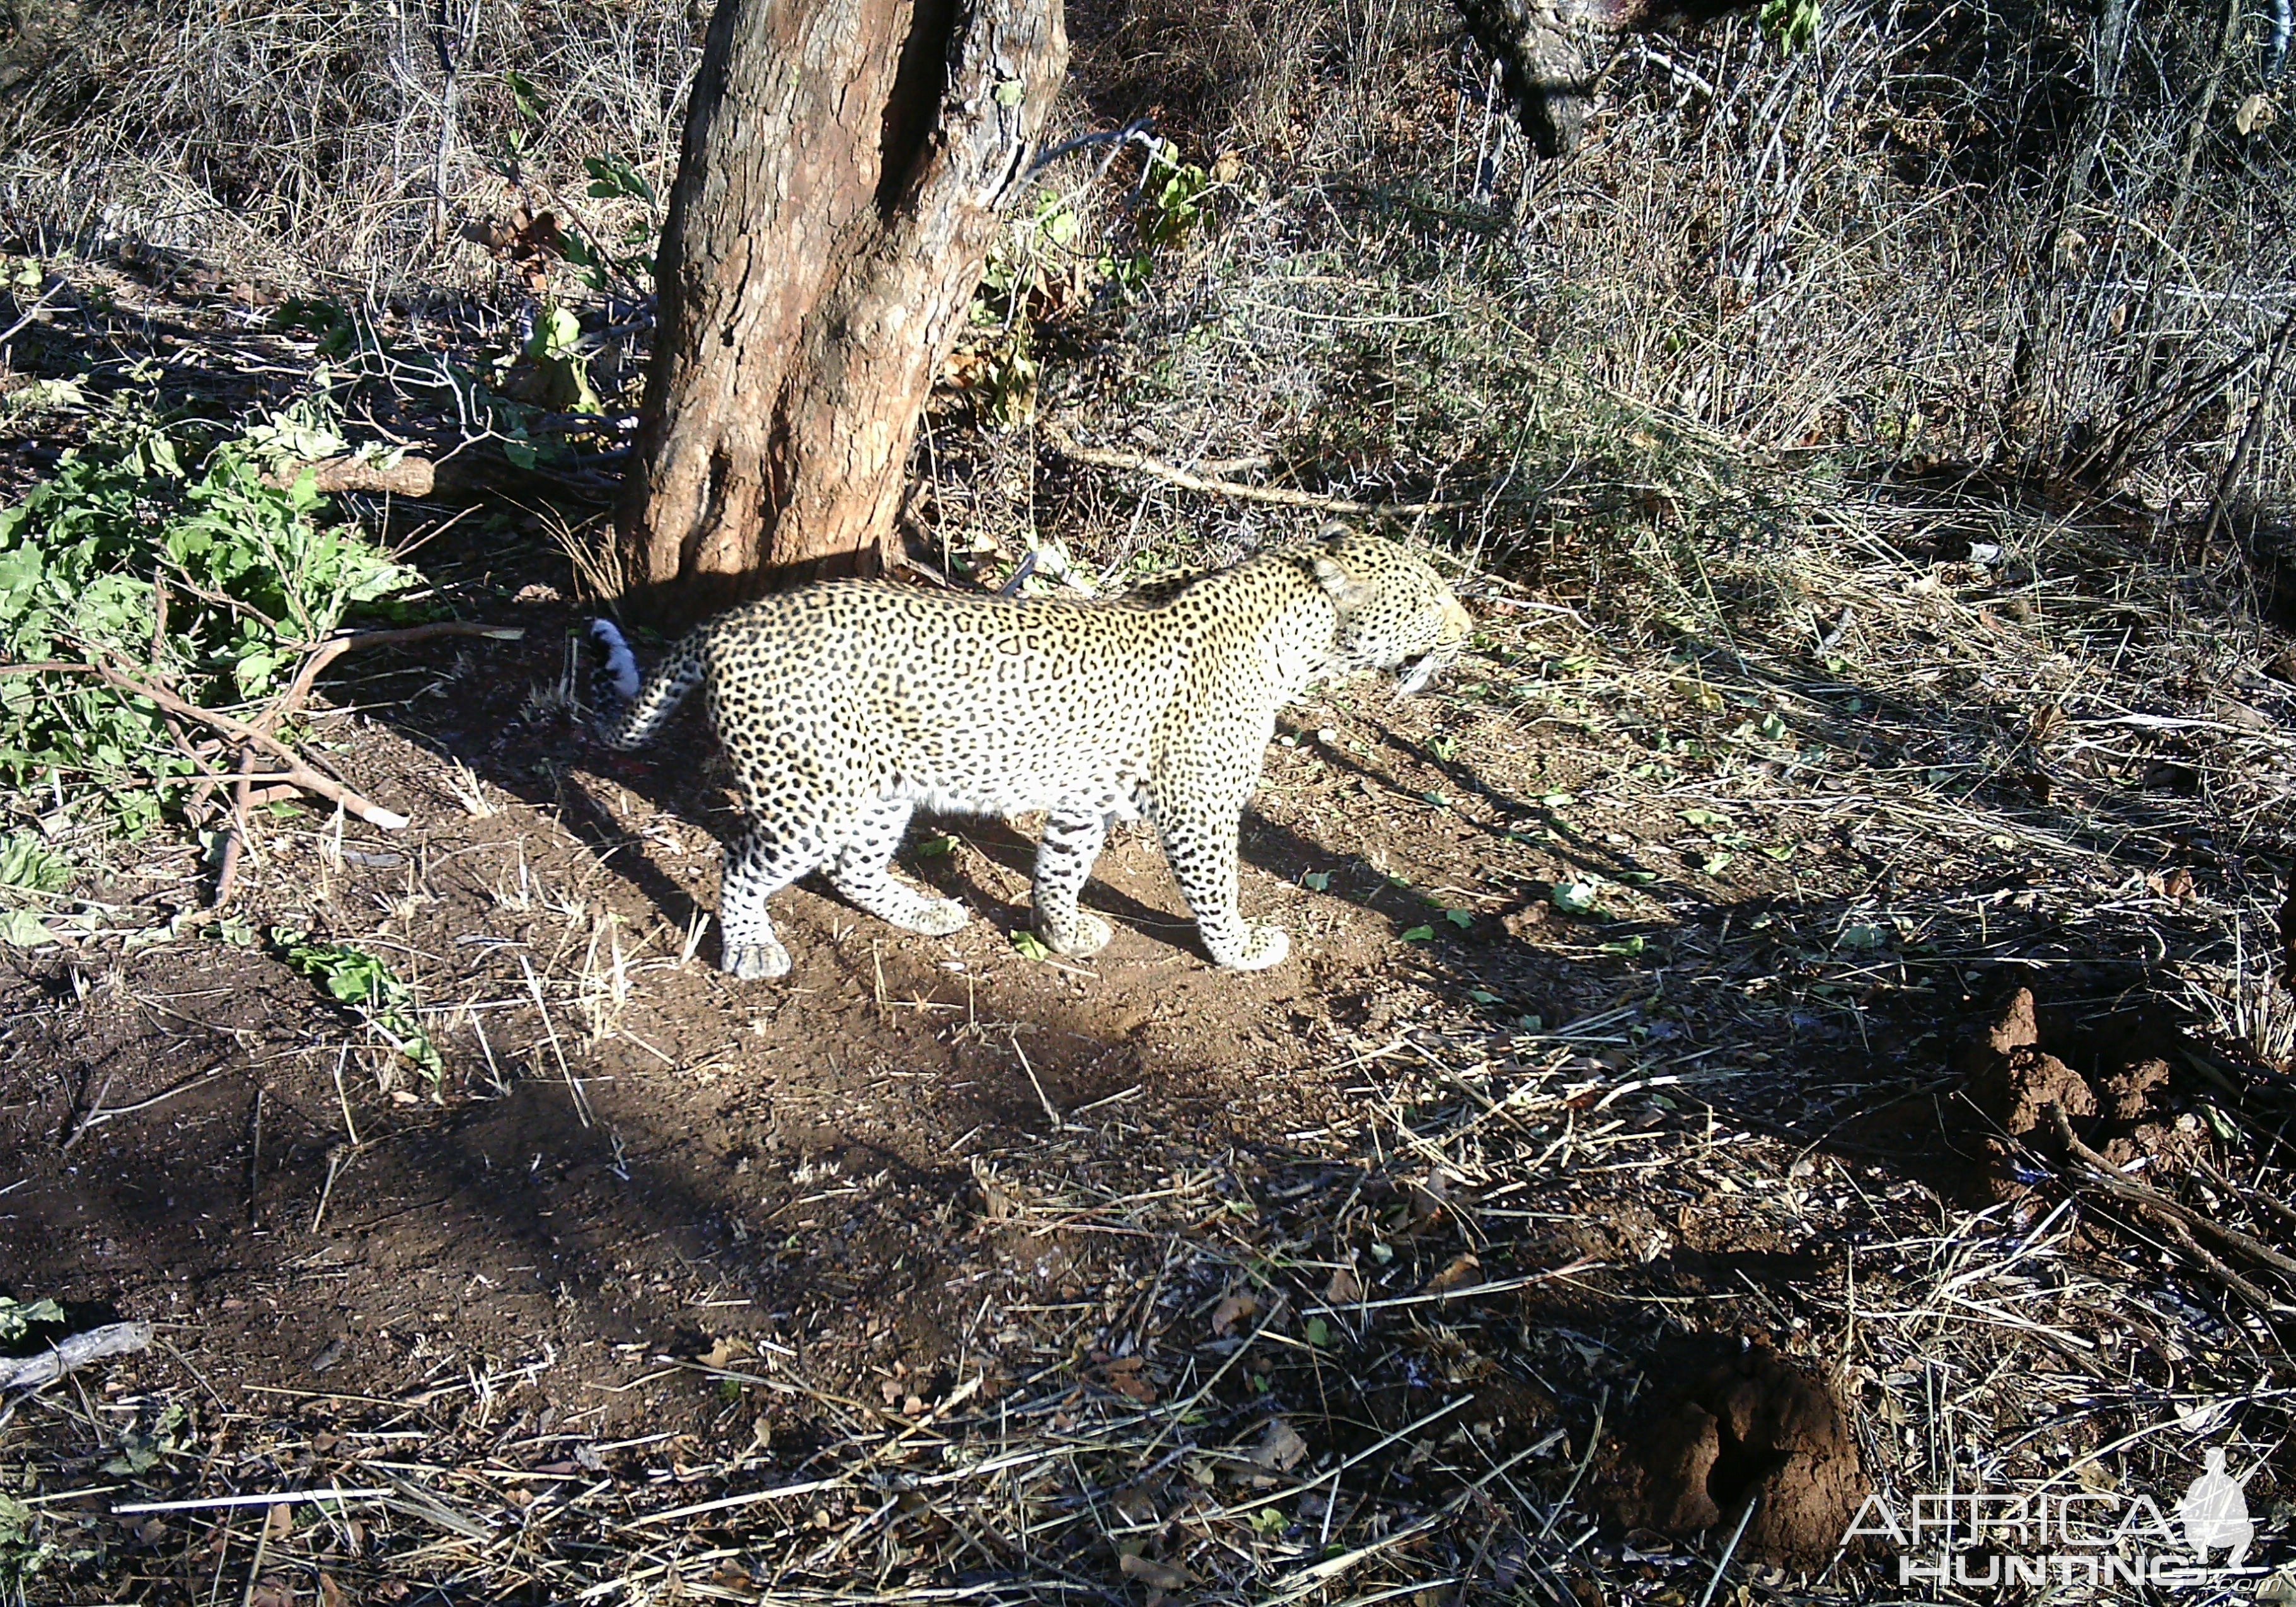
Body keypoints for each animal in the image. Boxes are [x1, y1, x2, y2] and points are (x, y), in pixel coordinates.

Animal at [587, 527, 1469, 977]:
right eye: (1426, 599)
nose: (1466, 629)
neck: (1294, 642)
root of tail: (727, 622)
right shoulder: (1200, 805)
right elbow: (1216, 888)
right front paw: (1241, 950)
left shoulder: (1085, 797)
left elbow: (1062, 867)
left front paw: (1062, 932)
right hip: (812, 791)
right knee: (741, 864)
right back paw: (751, 947)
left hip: (878, 787)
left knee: (854, 867)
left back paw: (925, 912)